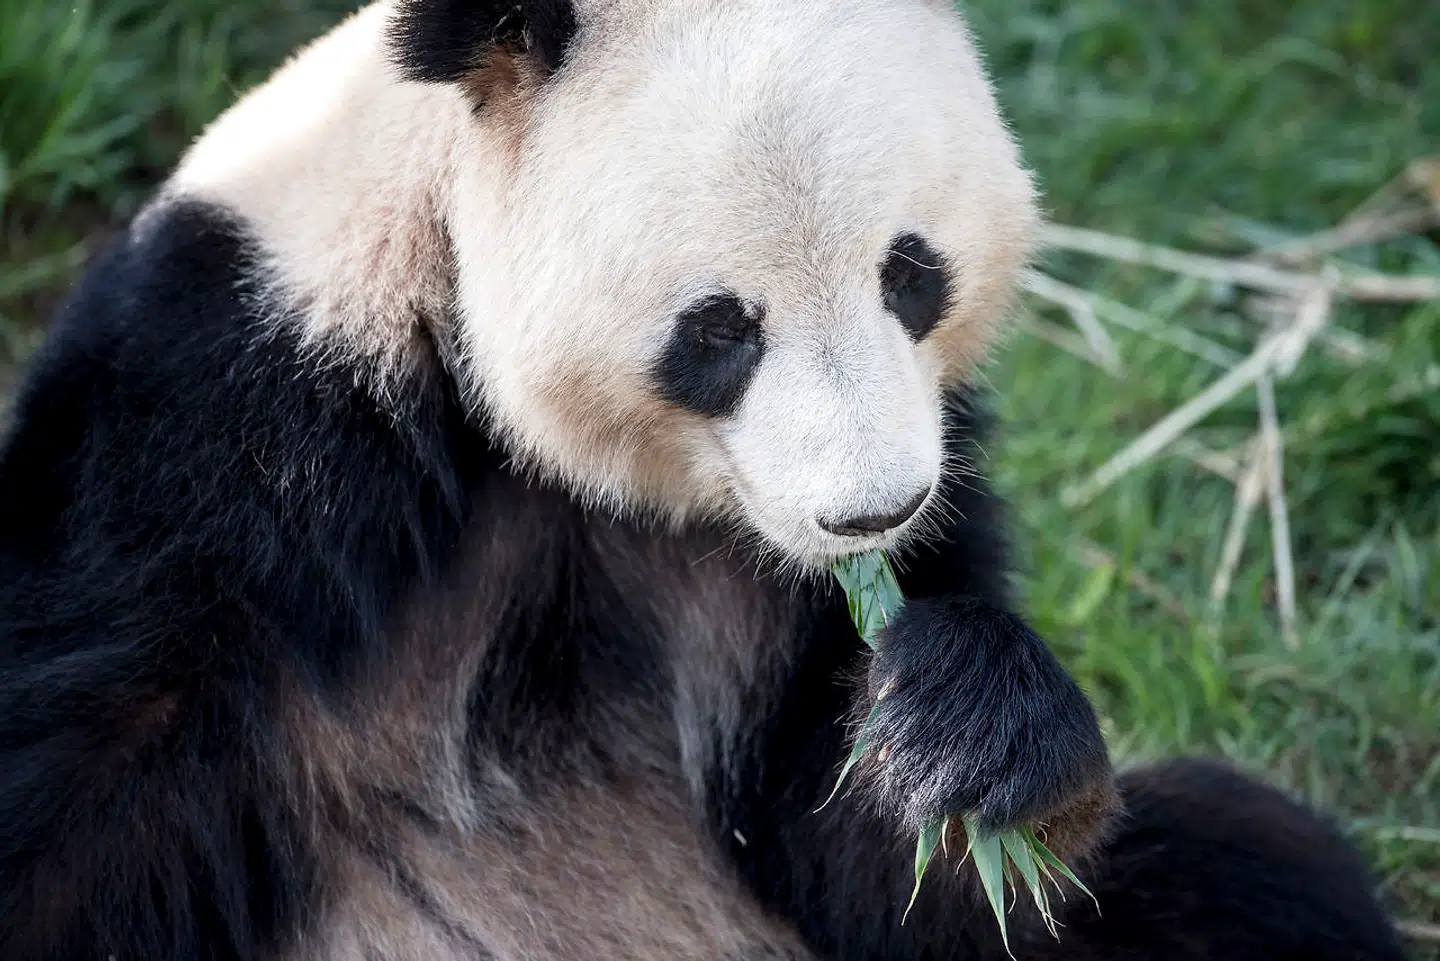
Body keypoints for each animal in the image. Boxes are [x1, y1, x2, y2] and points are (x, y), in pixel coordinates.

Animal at [0, 1, 1411, 959]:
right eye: (721, 328)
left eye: (911, 272)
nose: (873, 512)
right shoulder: (227, 440)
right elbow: (82, 795)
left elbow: (873, 856)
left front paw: (965, 729)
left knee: (1249, 871)